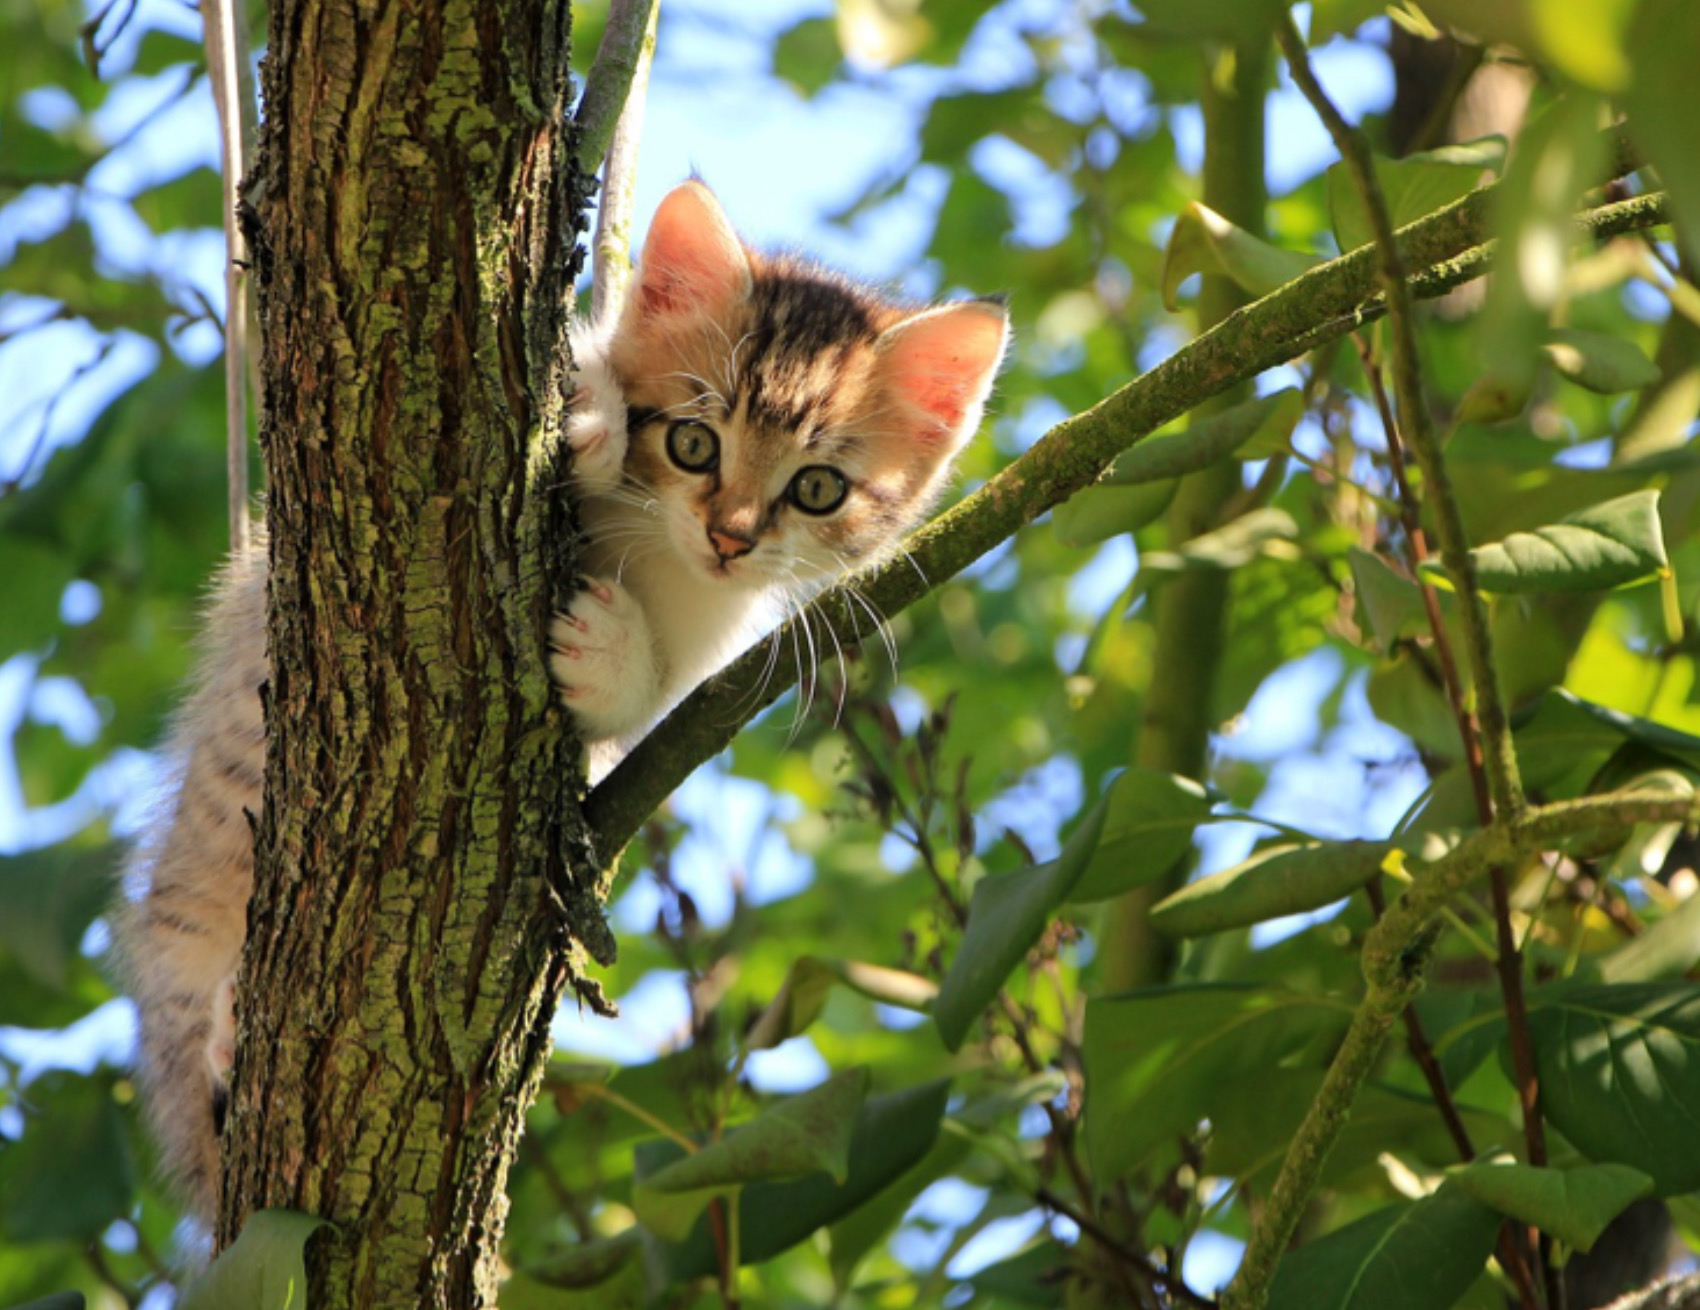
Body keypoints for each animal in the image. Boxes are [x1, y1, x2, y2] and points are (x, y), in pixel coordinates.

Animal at [119, 179, 1006, 1223]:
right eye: (693, 441)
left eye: (818, 489)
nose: (732, 536)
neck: (655, 549)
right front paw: (589, 416)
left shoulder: (707, 644)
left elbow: (644, 704)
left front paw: (609, 652)